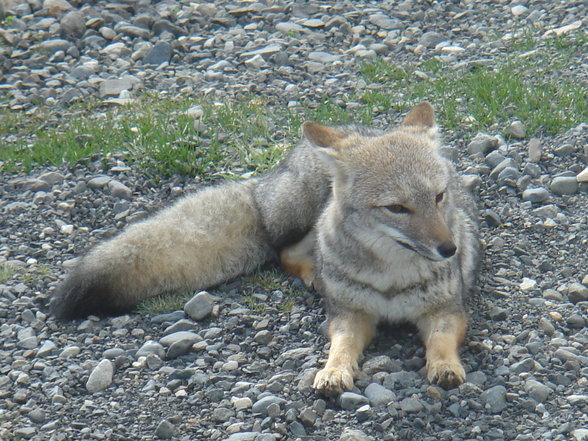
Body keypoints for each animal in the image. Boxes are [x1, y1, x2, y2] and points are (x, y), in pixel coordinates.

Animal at [52, 102, 480, 396]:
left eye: (439, 197)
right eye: (397, 208)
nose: (449, 249)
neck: (391, 277)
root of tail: (264, 183)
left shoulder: (447, 310)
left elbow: (441, 341)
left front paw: (445, 367)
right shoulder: (348, 315)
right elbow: (340, 346)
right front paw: (333, 370)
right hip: (305, 214)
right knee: (284, 253)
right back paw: (314, 275)